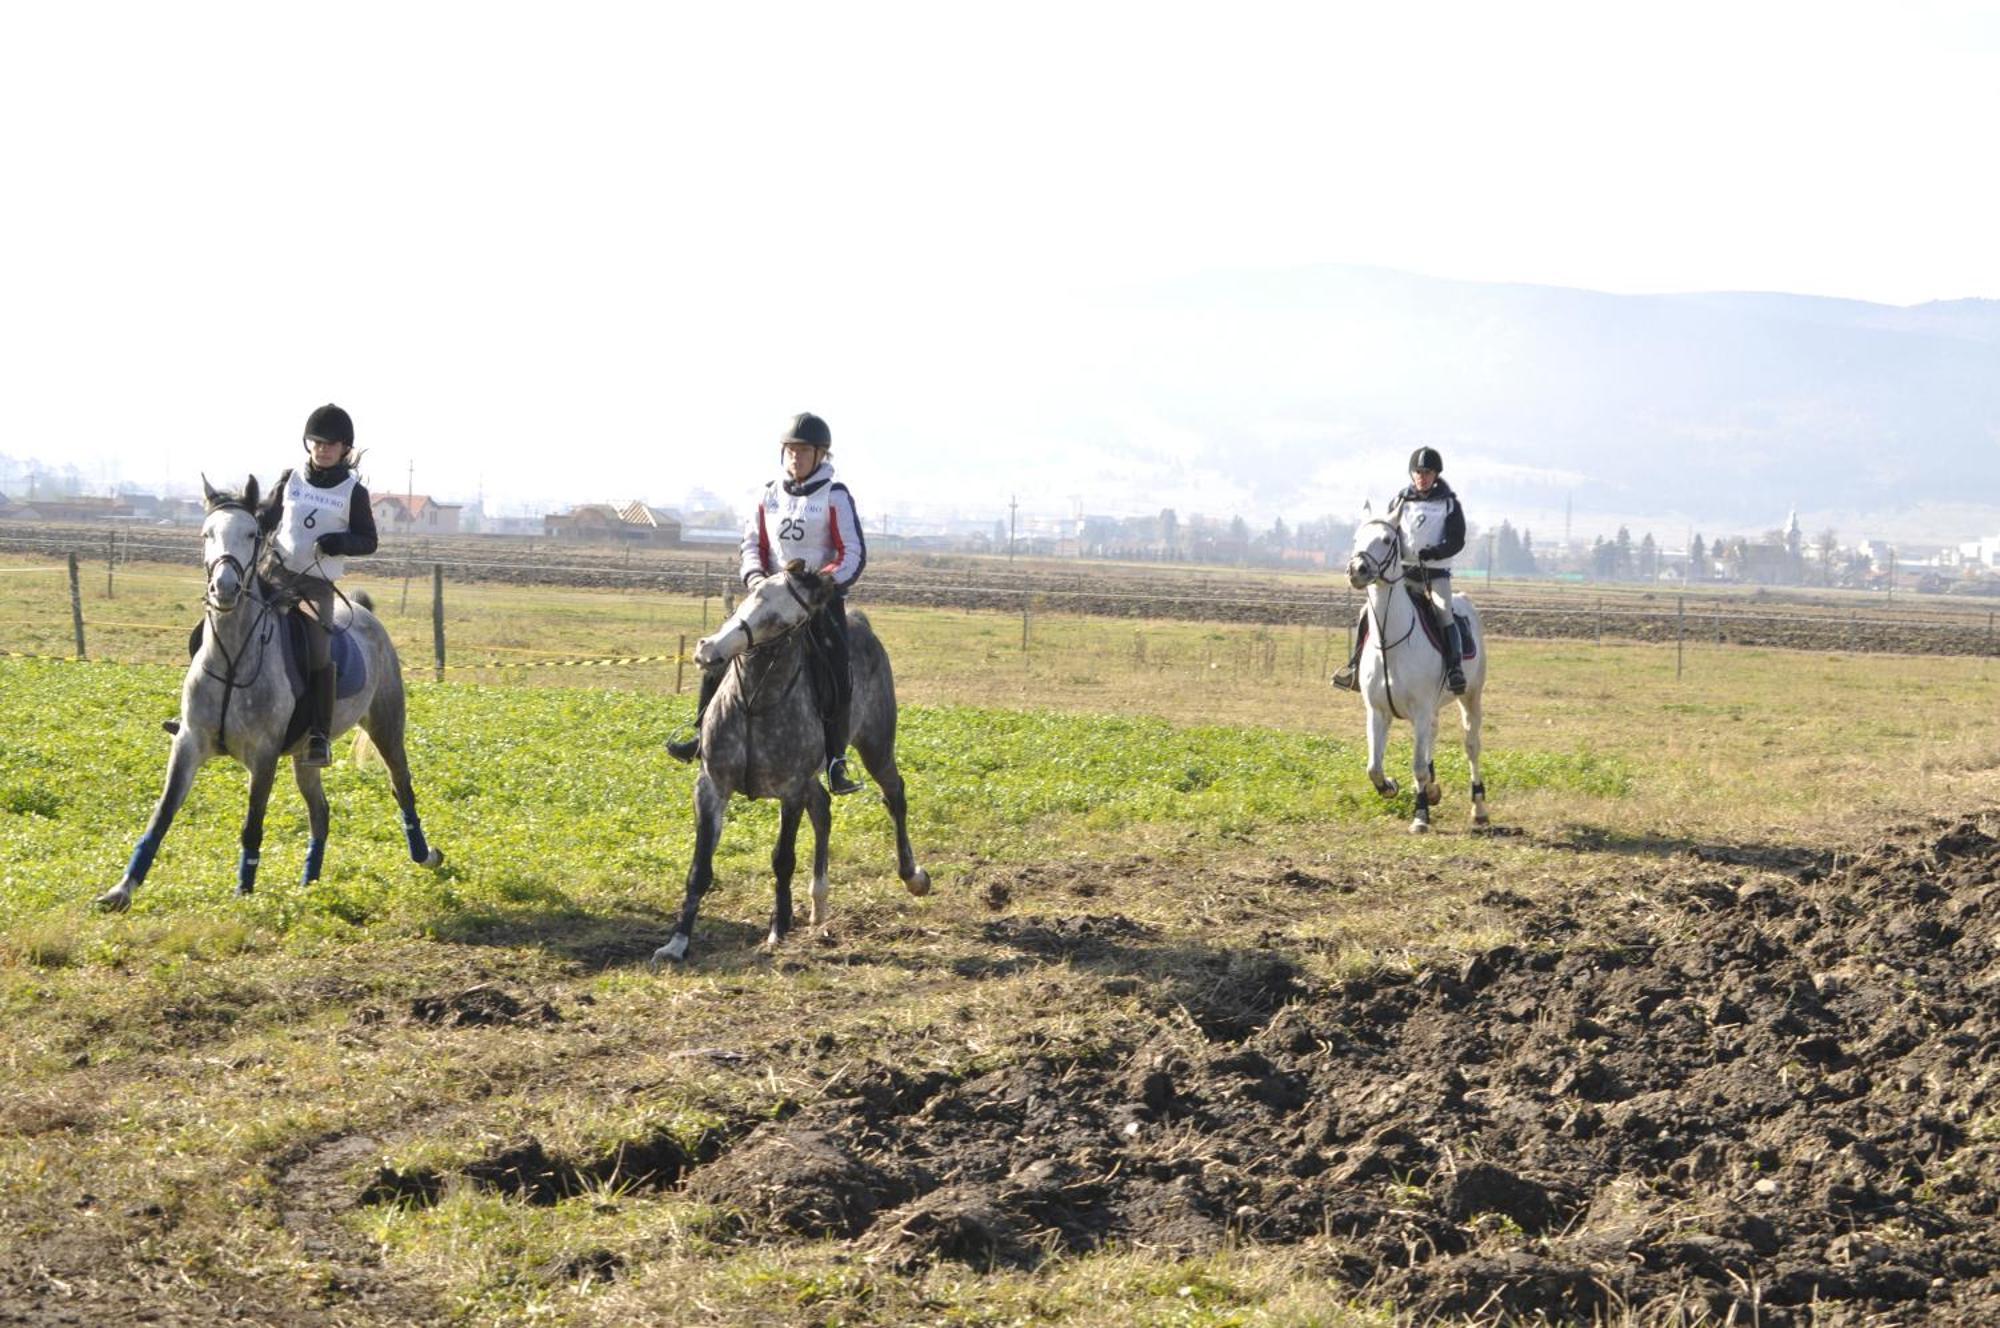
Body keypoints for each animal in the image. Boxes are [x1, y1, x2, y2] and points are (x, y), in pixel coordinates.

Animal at [94, 478, 446, 912]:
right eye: (206, 534)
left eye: (252, 534)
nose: (224, 588)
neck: (233, 659)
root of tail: (366, 614)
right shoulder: (189, 743)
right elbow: (161, 816)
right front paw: (121, 890)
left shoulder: (262, 756)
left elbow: (252, 824)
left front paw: (243, 894)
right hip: (305, 756)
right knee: (321, 812)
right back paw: (310, 884)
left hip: (385, 725)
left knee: (402, 787)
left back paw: (426, 855)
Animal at [660, 564, 932, 964]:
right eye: (752, 596)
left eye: (781, 621)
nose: (709, 649)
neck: (755, 704)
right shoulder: (711, 787)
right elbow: (700, 868)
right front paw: (677, 942)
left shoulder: (790, 791)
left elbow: (782, 859)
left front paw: (779, 927)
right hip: (818, 778)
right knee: (823, 808)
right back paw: (819, 901)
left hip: (876, 746)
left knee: (895, 796)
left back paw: (913, 877)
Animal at [1344, 516, 1488, 832]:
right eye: (1356, 537)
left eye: (1387, 539)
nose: (1357, 569)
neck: (1390, 642)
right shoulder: (1377, 711)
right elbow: (1374, 767)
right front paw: (1391, 786)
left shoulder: (1421, 709)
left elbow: (1419, 766)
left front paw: (1421, 815)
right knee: (1432, 736)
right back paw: (1433, 790)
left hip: (1470, 697)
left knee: (1471, 746)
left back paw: (1480, 809)